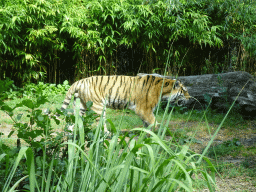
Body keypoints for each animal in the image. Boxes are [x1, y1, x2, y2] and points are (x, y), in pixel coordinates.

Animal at [60, 74, 190, 134]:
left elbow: (146, 123)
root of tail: (79, 81)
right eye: (184, 91)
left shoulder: (145, 111)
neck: (164, 91)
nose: (190, 98)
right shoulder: (144, 109)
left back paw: (70, 133)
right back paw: (107, 134)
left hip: (80, 106)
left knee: (72, 120)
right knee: (100, 122)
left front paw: (147, 132)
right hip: (98, 107)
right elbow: (153, 121)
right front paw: (157, 132)